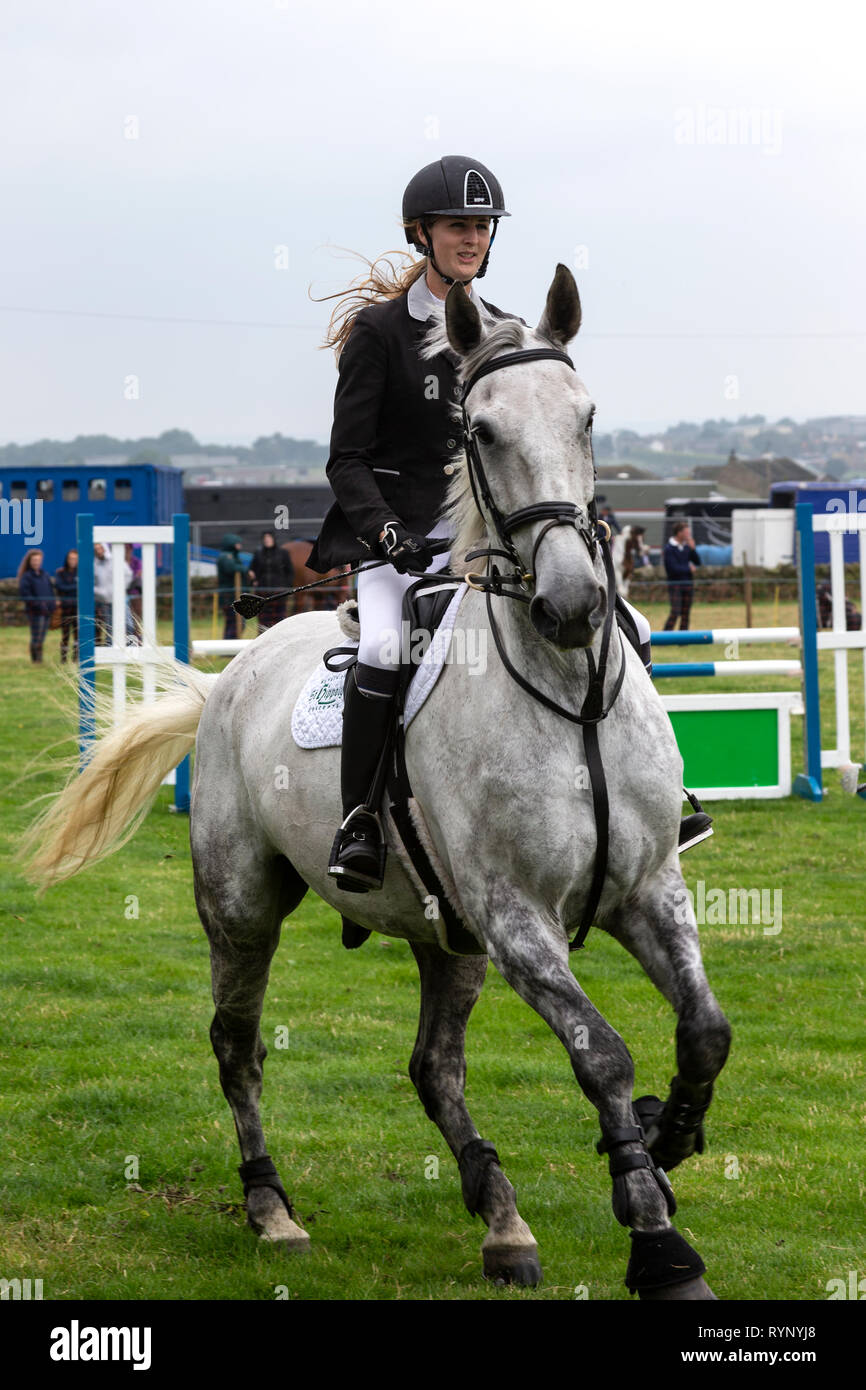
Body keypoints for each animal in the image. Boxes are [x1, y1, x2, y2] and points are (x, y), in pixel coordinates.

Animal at [23, 265, 730, 1299]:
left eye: (588, 417)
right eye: (482, 431)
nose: (570, 605)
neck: (565, 693)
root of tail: (229, 678)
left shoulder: (647, 889)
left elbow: (705, 1031)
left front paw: (664, 1138)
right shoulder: (518, 919)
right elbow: (602, 1053)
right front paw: (660, 1241)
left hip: (449, 937)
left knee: (435, 1068)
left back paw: (502, 1221)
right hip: (243, 906)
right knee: (238, 1047)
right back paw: (272, 1209)